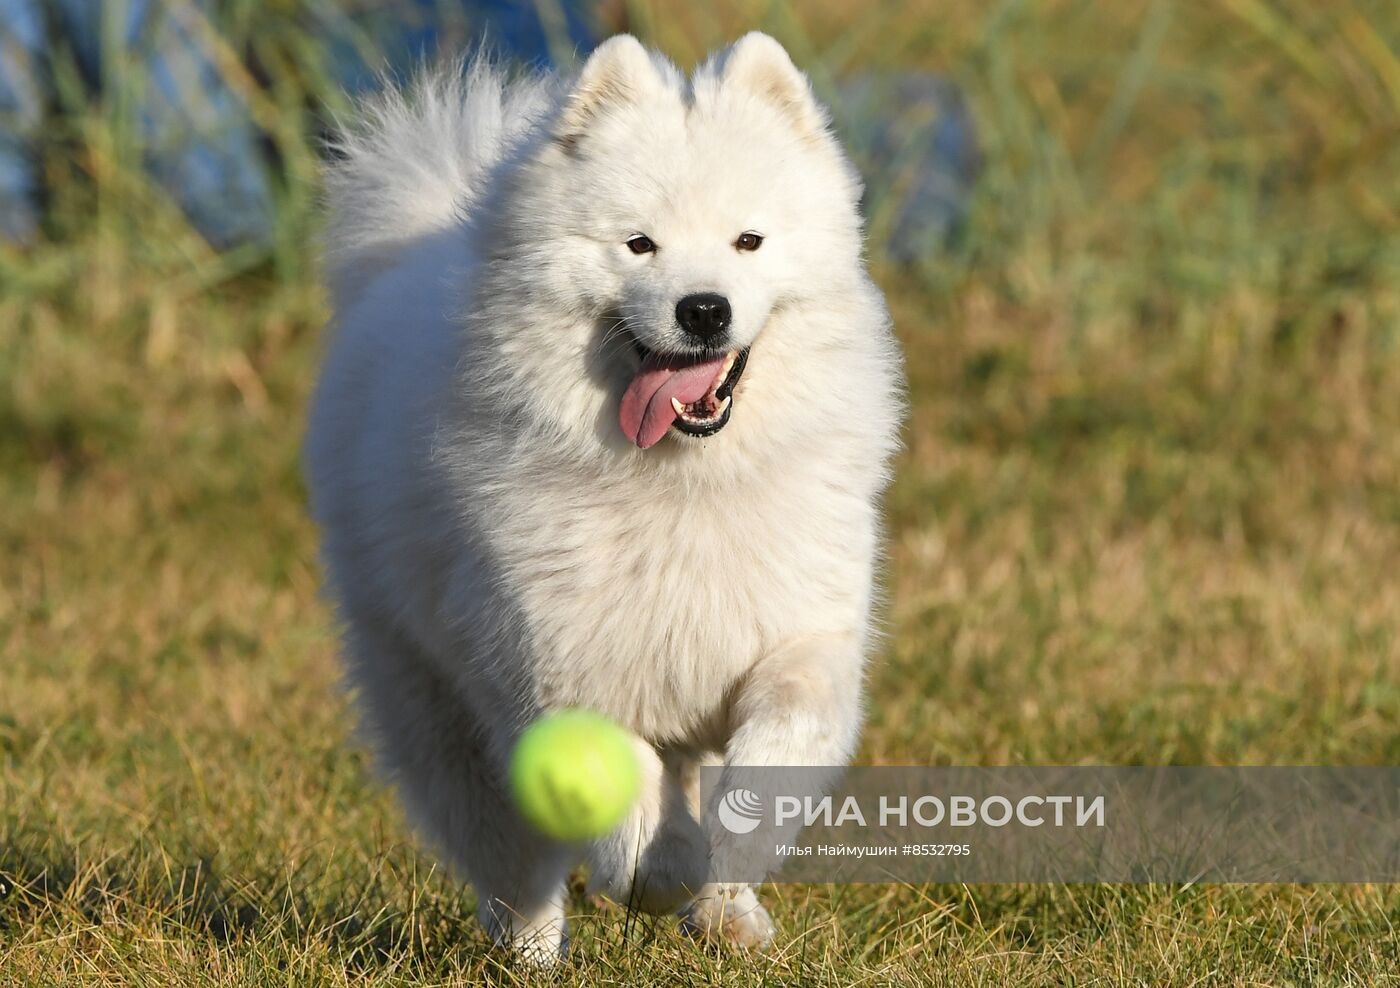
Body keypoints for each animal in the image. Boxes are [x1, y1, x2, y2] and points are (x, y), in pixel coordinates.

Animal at [302, 32, 901, 962]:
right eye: (639, 245)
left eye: (749, 241)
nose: (704, 309)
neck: (685, 486)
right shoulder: (560, 665)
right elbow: (621, 786)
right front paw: (656, 871)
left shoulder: (798, 633)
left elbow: (778, 741)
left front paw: (726, 859)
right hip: (436, 709)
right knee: (513, 866)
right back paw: (533, 953)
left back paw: (729, 916)